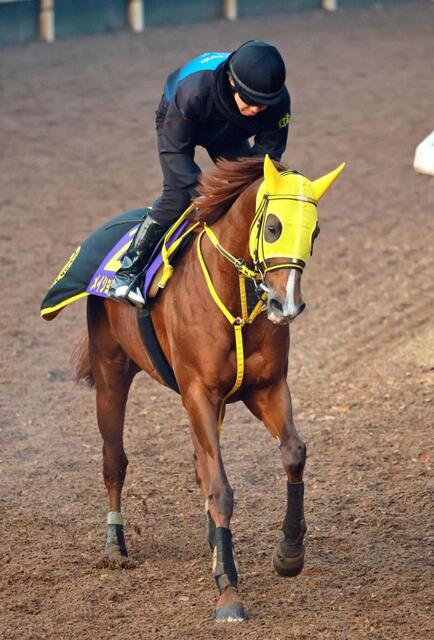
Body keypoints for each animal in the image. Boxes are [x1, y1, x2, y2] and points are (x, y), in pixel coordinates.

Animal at [71, 155, 344, 622]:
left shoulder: (265, 387)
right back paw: (115, 547)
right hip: (111, 372)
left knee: (198, 463)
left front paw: (288, 553)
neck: (235, 296)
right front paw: (228, 591)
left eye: (316, 231)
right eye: (273, 226)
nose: (286, 305)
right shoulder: (198, 392)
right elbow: (220, 487)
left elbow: (293, 453)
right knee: (114, 460)